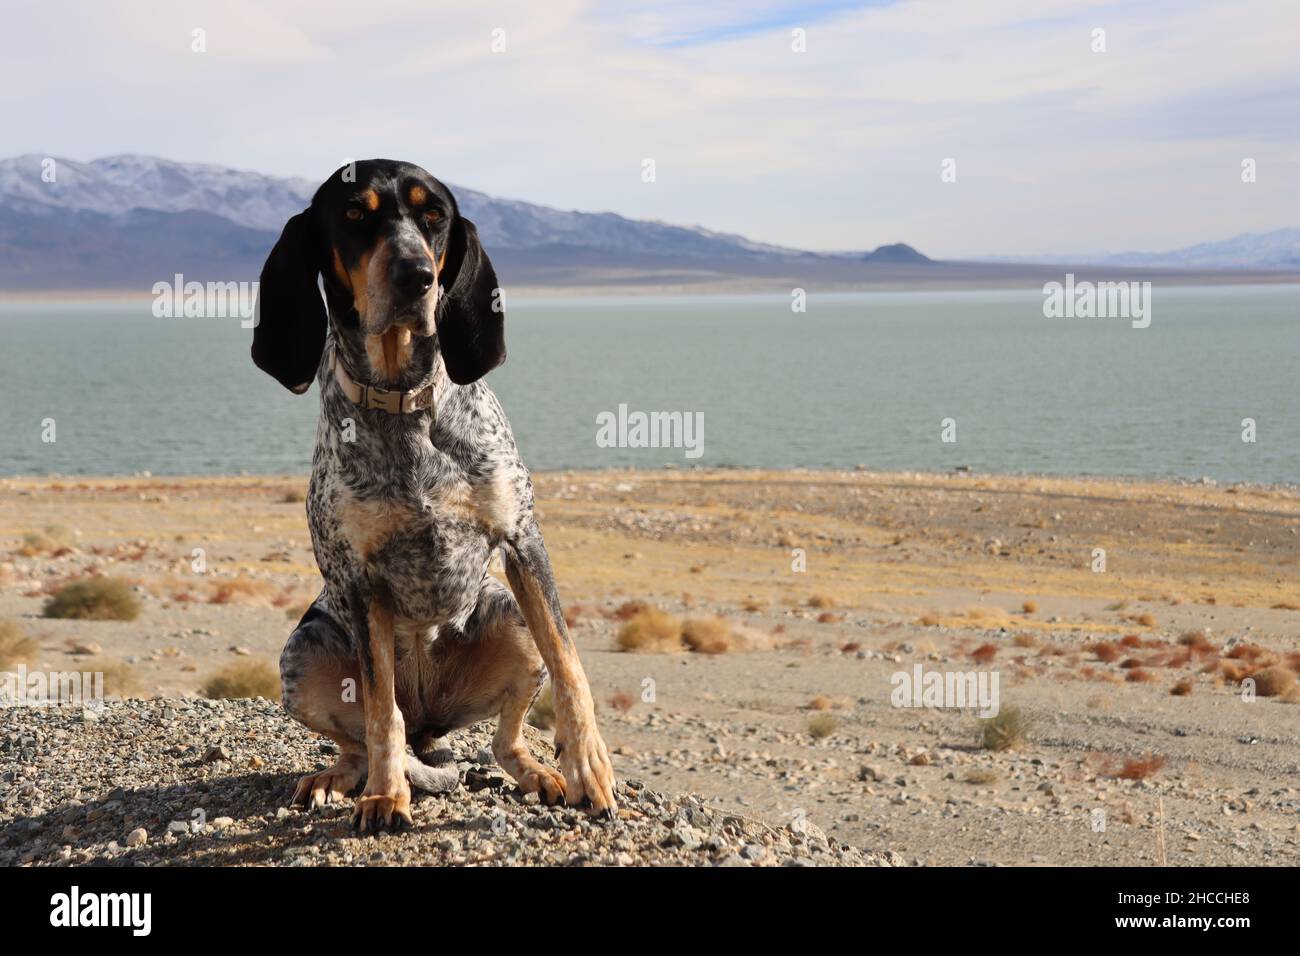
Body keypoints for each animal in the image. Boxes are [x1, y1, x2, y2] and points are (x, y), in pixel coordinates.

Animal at [254, 157, 618, 832]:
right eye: (354, 214)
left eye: (434, 217)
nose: (416, 275)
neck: (405, 403)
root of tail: (432, 718)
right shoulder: (358, 578)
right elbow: (380, 711)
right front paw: (384, 796)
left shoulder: (522, 542)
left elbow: (568, 659)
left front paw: (589, 767)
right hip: (304, 652)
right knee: (367, 737)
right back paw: (339, 778)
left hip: (507, 617)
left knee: (505, 740)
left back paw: (542, 774)